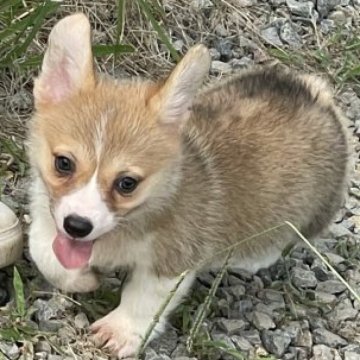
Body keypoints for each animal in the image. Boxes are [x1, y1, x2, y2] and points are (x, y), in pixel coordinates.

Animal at [28, 12, 348, 358]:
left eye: (127, 183)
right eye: (63, 163)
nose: (77, 226)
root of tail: (317, 96)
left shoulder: (171, 262)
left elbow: (144, 300)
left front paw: (120, 331)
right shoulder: (46, 217)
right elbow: (44, 252)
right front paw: (83, 279)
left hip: (309, 212)